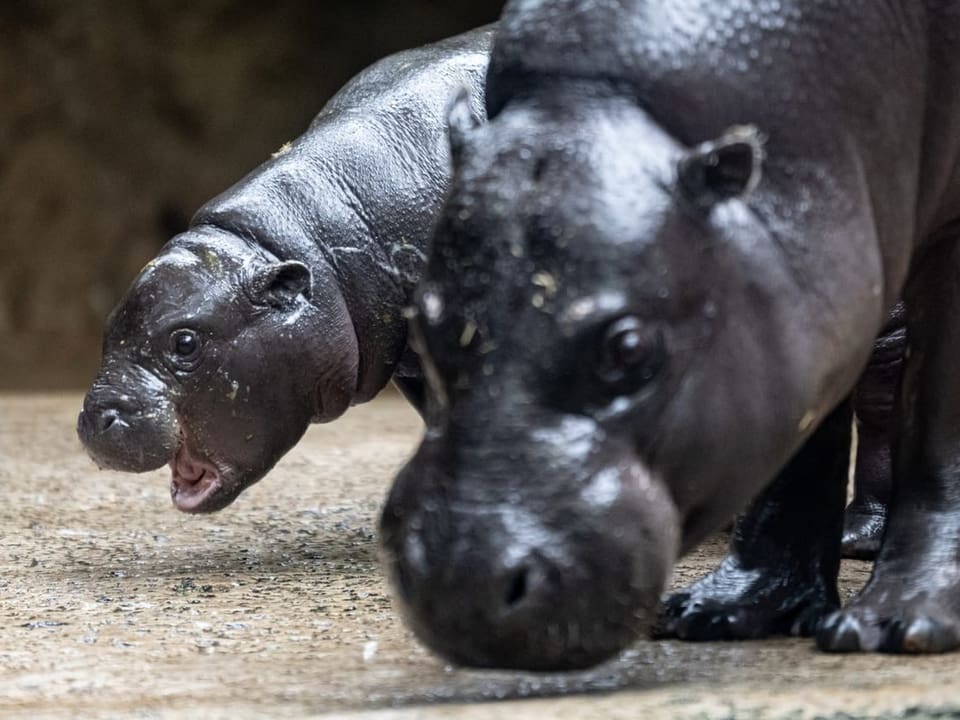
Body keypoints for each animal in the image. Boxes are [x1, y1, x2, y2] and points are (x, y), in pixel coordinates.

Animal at [382, 0, 960, 668]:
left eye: (629, 347)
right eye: (423, 328)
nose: (461, 582)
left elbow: (939, 427)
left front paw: (896, 624)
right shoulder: (806, 294)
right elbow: (800, 445)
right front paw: (719, 612)